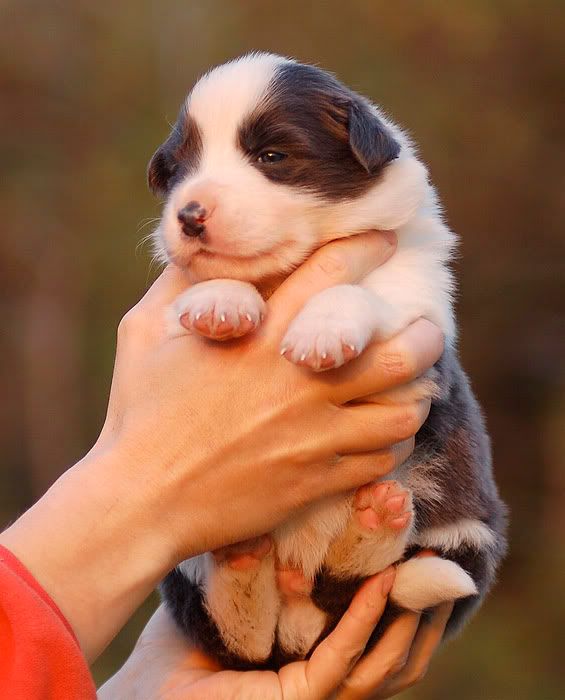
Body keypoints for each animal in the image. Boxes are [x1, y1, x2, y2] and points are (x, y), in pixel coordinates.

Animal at [147, 53, 506, 668]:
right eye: (179, 170)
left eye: (272, 157)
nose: (189, 215)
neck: (286, 274)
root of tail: (300, 621)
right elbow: (200, 293)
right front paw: (221, 301)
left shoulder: (420, 305)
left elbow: (364, 291)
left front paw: (322, 329)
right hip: (181, 560)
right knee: (242, 633)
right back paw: (245, 562)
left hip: (467, 531)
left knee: (372, 582)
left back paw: (374, 523)